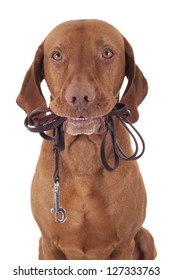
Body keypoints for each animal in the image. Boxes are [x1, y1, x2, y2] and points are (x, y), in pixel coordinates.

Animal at [16, 19, 157, 260]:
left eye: (107, 53)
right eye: (57, 55)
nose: (80, 97)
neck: (83, 155)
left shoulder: (124, 244)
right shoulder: (49, 244)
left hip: (146, 237)